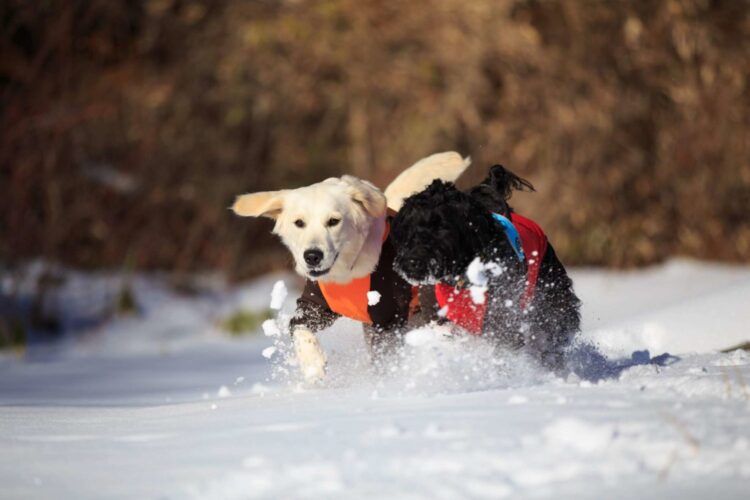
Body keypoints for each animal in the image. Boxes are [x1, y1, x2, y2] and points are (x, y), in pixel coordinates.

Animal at [234, 150, 470, 380]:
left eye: (333, 221)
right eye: (299, 223)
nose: (312, 256)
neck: (349, 271)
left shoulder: (388, 318)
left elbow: (385, 360)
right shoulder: (316, 304)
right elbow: (299, 328)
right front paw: (314, 365)